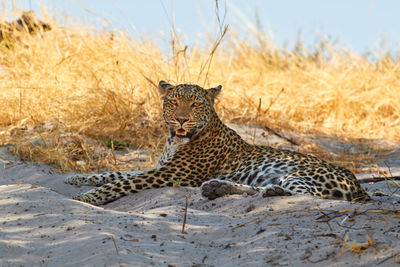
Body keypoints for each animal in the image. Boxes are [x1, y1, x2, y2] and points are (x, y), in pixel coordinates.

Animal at [64, 80, 370, 206]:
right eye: (173, 101)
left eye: (196, 104)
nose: (181, 120)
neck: (174, 141)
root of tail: (357, 184)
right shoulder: (162, 167)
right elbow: (116, 173)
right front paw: (76, 179)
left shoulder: (169, 174)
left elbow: (121, 182)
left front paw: (86, 198)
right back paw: (219, 187)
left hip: (300, 175)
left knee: (307, 195)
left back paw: (266, 191)